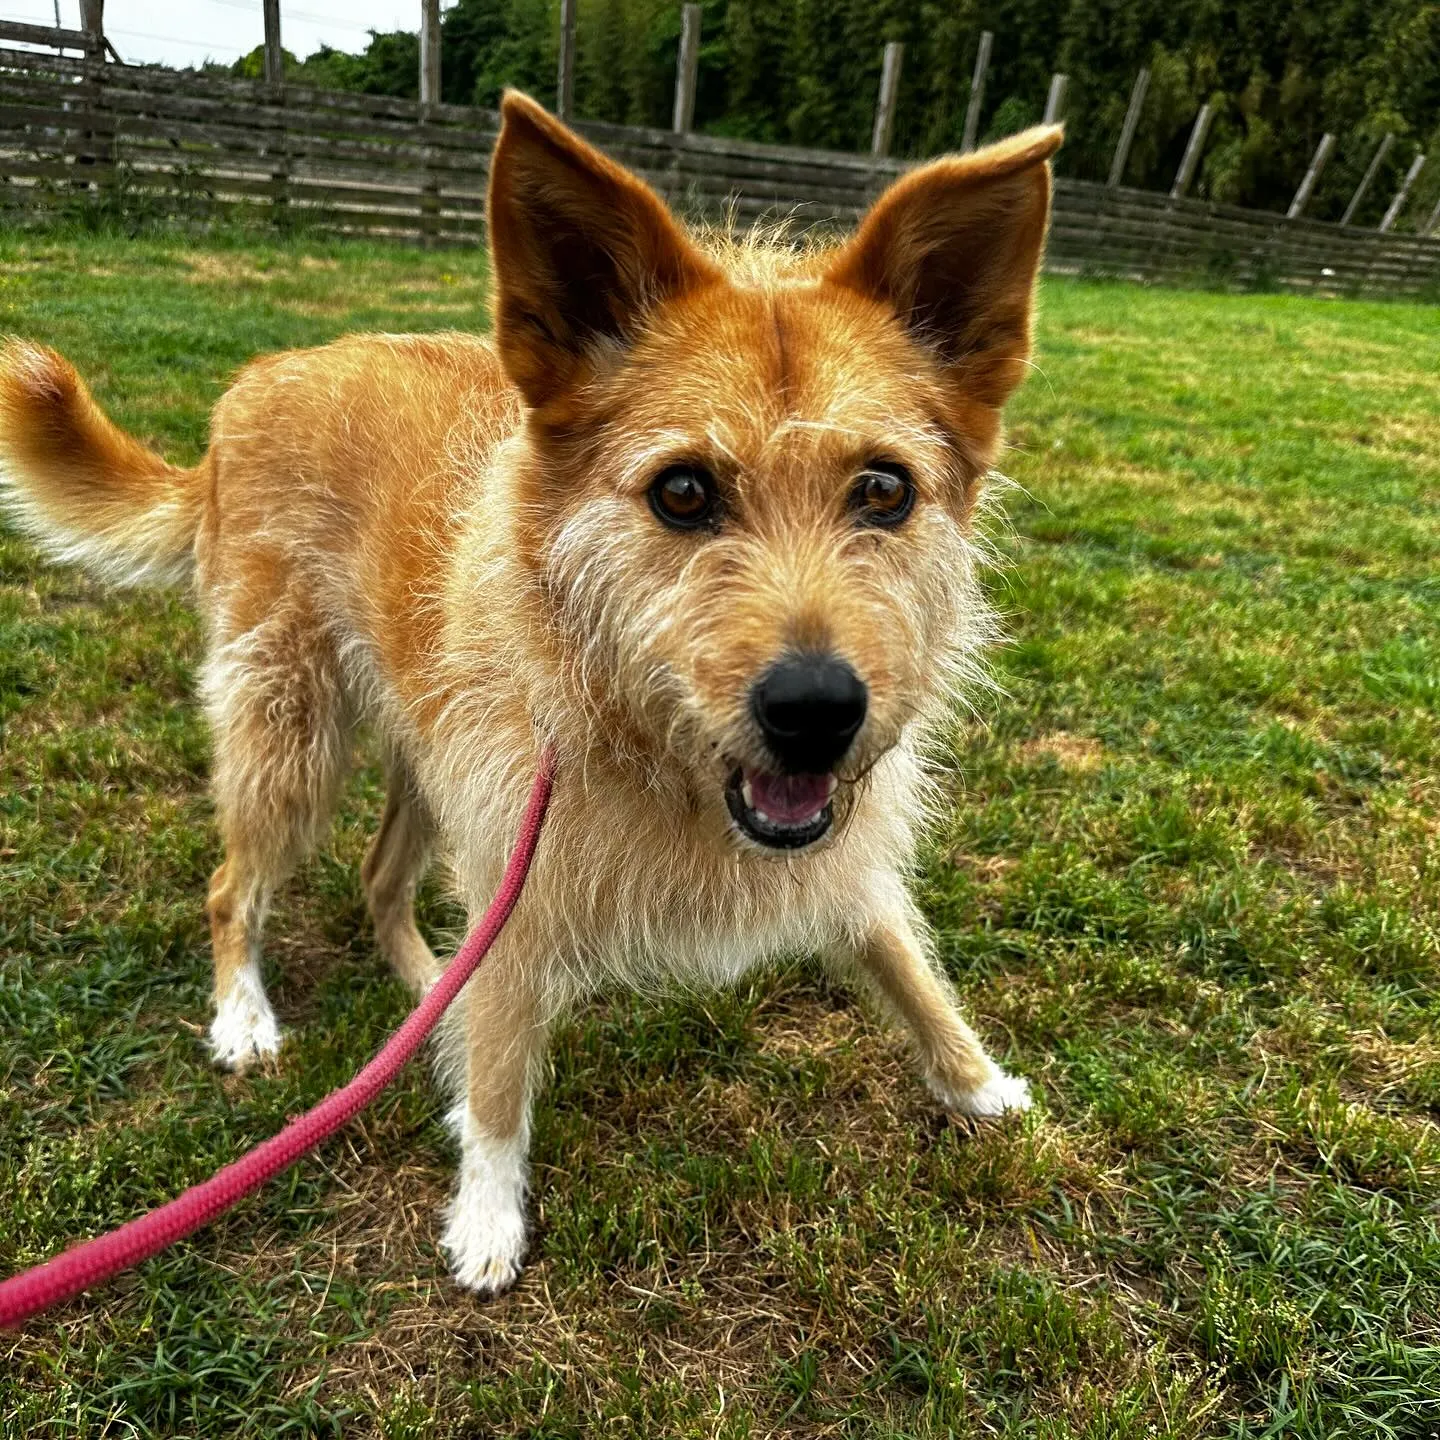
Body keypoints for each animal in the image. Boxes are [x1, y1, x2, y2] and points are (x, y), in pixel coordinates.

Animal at [0, 95, 1059, 1301]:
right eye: (682, 492)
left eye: (884, 490)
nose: (815, 711)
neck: (658, 757)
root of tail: (249, 389)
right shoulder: (524, 871)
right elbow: (505, 1075)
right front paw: (487, 1214)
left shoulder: (833, 854)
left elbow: (908, 968)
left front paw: (981, 1086)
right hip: (291, 736)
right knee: (234, 887)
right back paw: (246, 1017)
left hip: (430, 765)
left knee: (380, 879)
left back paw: (428, 993)